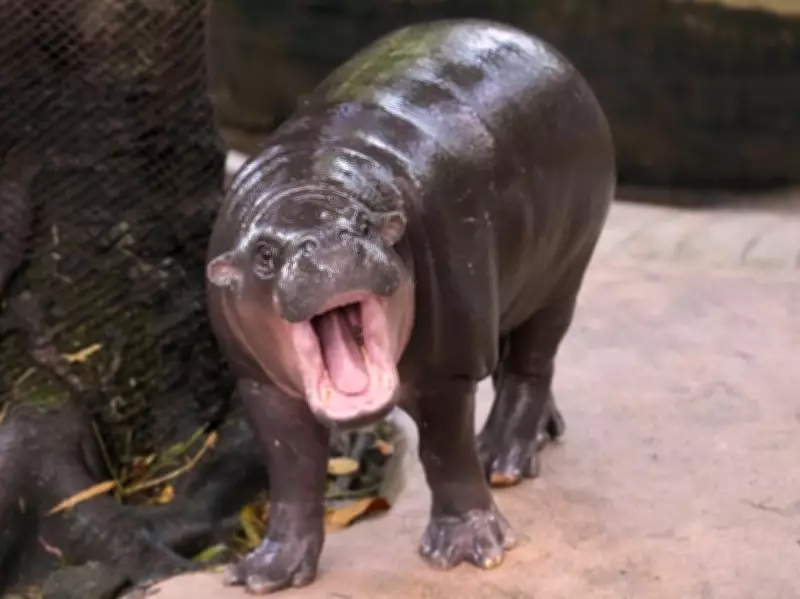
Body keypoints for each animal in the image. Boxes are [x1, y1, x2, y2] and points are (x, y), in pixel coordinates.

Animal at [205, 18, 615, 594]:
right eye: (264, 254)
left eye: (364, 224)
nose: (326, 245)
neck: (310, 183)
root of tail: (540, 46)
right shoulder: (259, 384)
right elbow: (292, 471)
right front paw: (266, 572)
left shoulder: (448, 370)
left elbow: (445, 453)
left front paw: (469, 549)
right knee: (514, 356)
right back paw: (541, 435)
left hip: (564, 270)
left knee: (532, 363)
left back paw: (503, 458)